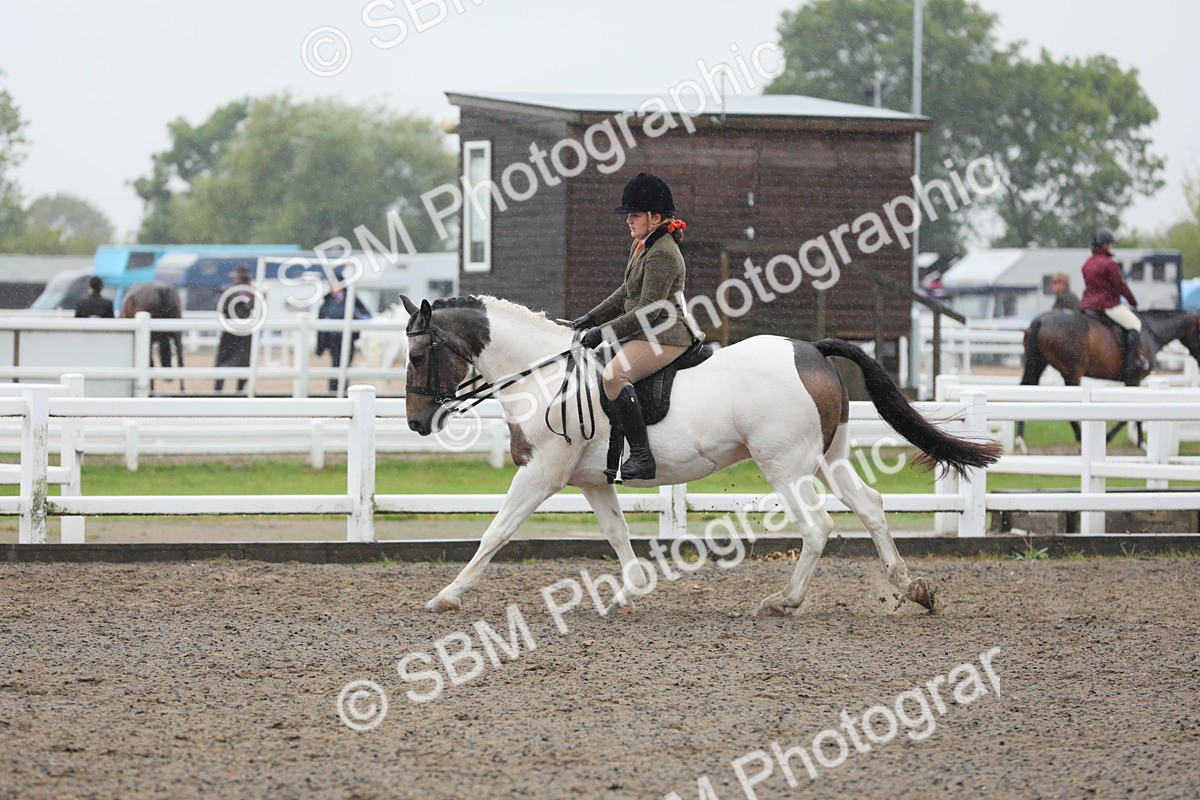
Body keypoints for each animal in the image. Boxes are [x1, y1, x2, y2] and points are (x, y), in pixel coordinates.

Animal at [400, 295, 1002, 617]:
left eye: (417, 355)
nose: (416, 423)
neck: (544, 376)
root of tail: (809, 348)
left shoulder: (541, 473)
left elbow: (495, 533)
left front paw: (447, 596)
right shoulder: (592, 481)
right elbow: (617, 533)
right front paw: (630, 591)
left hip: (785, 465)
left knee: (818, 526)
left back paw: (783, 601)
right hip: (827, 459)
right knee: (871, 506)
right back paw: (912, 588)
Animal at [1017, 309, 1200, 445]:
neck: (1151, 333)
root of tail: (1041, 320)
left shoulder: (1132, 382)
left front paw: (1139, 441)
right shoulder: (1134, 380)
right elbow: (1130, 414)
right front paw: (1137, 442)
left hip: (1038, 363)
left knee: (1027, 388)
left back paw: (1020, 440)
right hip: (1072, 372)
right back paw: (1080, 437)